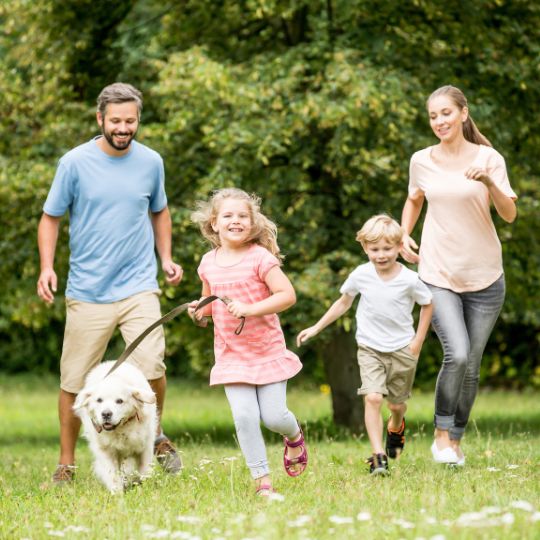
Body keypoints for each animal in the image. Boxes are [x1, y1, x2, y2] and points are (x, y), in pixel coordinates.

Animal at [73, 360, 156, 492]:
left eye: (119, 401)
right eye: (99, 400)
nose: (106, 414)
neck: (121, 429)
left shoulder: (145, 447)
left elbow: (144, 471)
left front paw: (144, 488)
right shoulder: (105, 451)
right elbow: (112, 474)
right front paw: (117, 492)